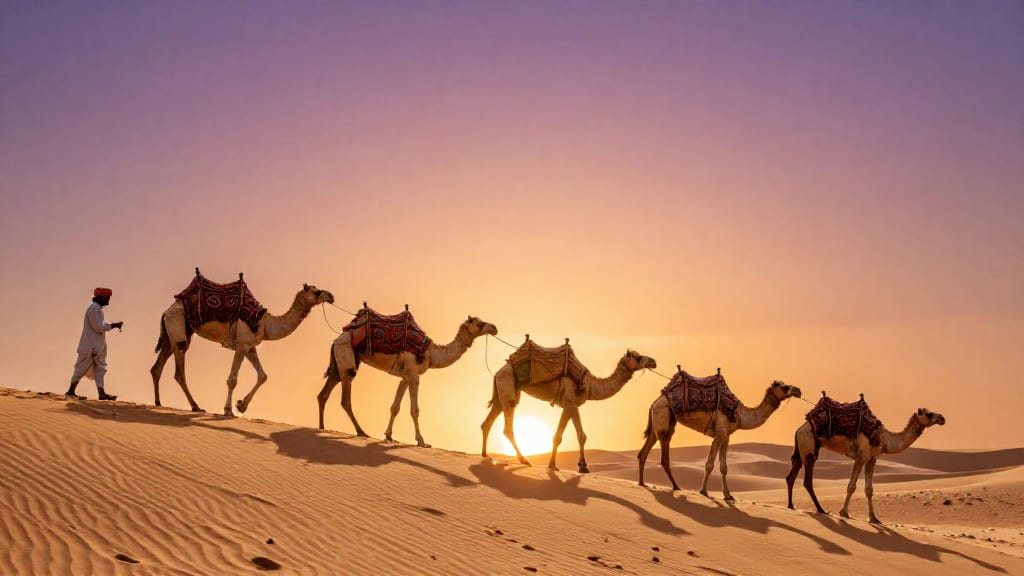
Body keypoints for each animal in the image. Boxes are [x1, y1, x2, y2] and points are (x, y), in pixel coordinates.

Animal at [151, 280, 335, 416]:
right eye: (316, 291)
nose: (331, 295)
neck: (265, 324)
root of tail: (166, 311)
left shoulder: (250, 347)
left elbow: (263, 376)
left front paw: (241, 405)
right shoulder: (241, 345)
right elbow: (232, 379)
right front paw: (228, 410)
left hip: (174, 335)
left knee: (157, 367)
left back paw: (158, 402)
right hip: (178, 329)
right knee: (179, 372)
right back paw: (196, 406)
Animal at [317, 313, 498, 448]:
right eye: (480, 323)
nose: (495, 328)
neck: (431, 354)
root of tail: (336, 340)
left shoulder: (404, 377)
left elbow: (395, 407)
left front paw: (389, 436)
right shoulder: (413, 376)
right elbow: (414, 410)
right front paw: (422, 441)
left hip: (339, 363)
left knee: (323, 394)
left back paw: (322, 427)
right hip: (347, 359)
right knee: (345, 399)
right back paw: (361, 431)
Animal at [481, 345, 657, 473]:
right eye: (637, 357)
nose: (653, 361)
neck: (591, 385)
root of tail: (498, 372)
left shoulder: (568, 405)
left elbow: (561, 436)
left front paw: (554, 465)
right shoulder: (572, 403)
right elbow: (579, 435)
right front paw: (583, 466)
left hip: (502, 392)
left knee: (487, 422)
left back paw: (484, 455)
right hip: (508, 388)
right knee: (507, 428)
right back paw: (524, 460)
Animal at [638, 369, 802, 500]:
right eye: (784, 386)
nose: (798, 390)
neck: (739, 414)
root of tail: (654, 403)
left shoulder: (726, 437)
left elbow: (724, 467)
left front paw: (728, 495)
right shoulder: (719, 434)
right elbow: (709, 464)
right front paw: (703, 491)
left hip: (662, 422)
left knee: (644, 452)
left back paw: (644, 483)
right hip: (663, 417)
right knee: (663, 455)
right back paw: (675, 486)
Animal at [786, 406, 946, 524]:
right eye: (929, 414)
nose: (942, 418)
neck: (885, 438)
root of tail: (798, 429)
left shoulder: (872, 458)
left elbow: (869, 489)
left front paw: (874, 518)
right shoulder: (861, 457)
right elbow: (851, 486)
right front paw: (844, 513)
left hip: (805, 447)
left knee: (791, 476)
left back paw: (791, 505)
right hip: (808, 446)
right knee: (807, 480)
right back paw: (821, 509)